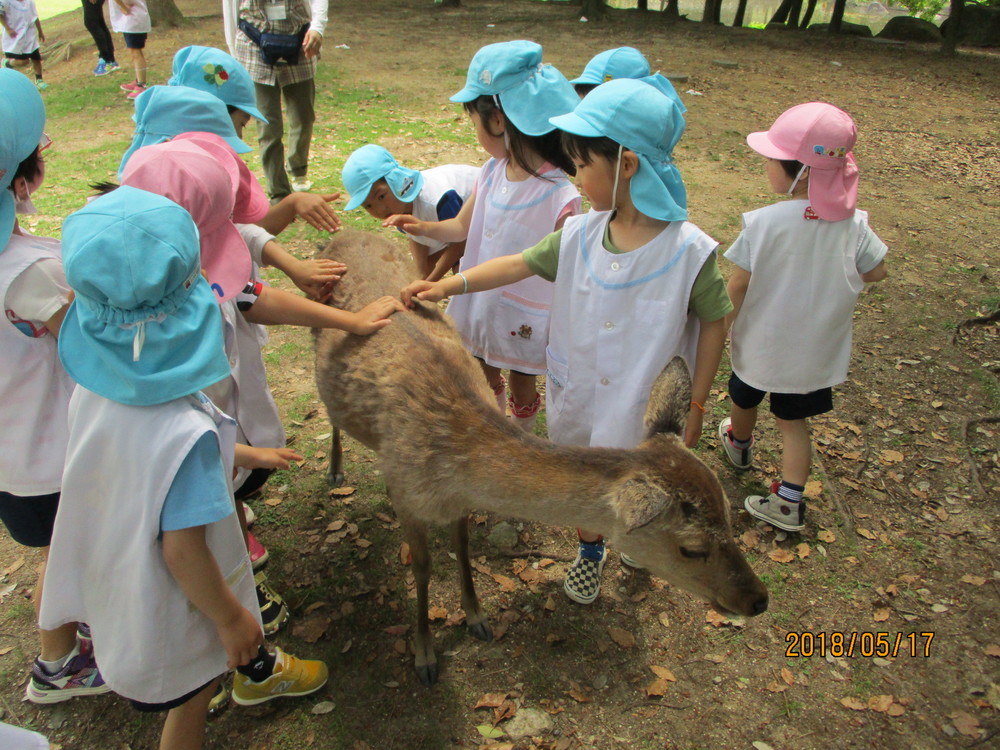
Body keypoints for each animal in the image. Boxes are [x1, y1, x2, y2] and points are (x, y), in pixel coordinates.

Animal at [312, 229, 764, 688]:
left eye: (729, 516)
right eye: (691, 548)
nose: (757, 599)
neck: (448, 467)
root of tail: (341, 233)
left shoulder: (457, 503)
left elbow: (462, 545)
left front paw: (476, 617)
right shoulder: (406, 493)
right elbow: (421, 567)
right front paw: (424, 657)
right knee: (329, 411)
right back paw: (334, 469)